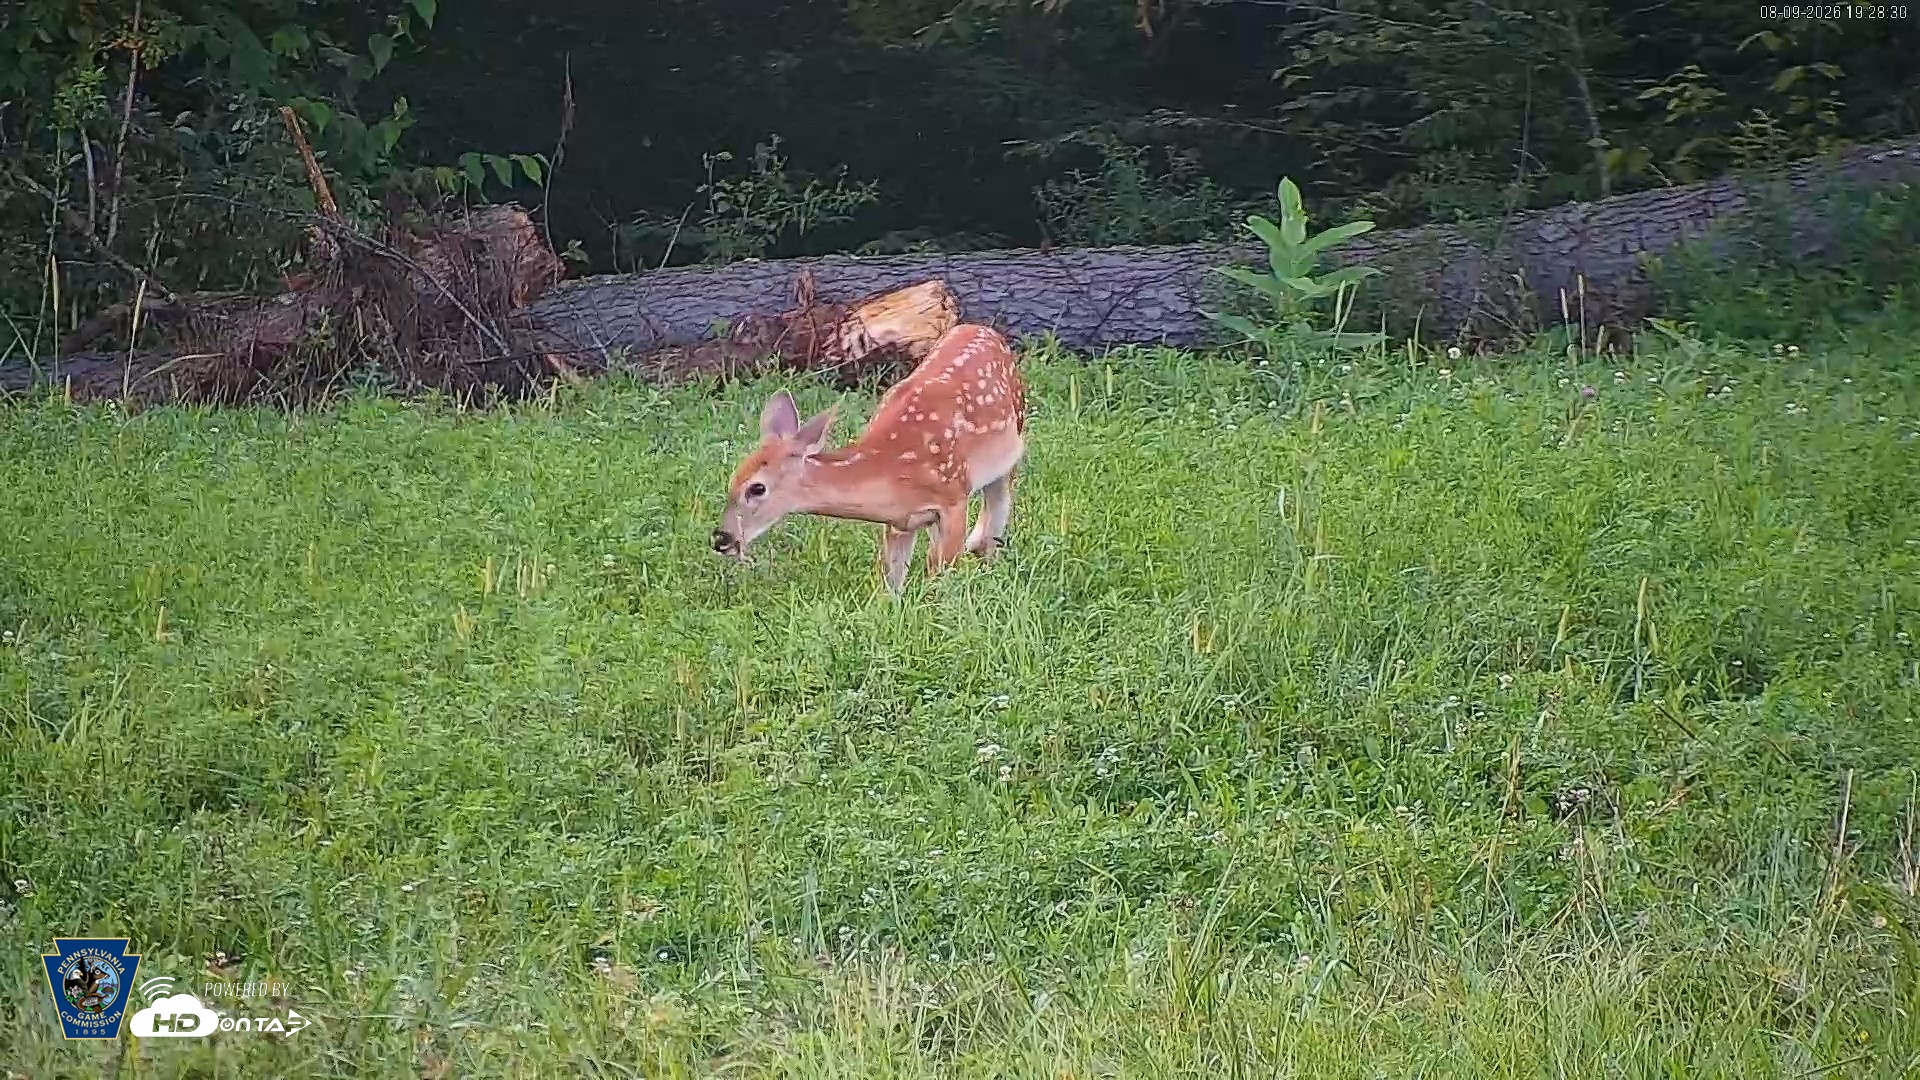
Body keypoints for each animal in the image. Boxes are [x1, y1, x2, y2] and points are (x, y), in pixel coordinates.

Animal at [711, 323, 1027, 595]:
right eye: (731, 480)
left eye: (757, 488)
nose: (722, 539)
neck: (893, 469)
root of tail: (985, 329)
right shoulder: (900, 522)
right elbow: (892, 579)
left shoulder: (953, 496)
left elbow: (940, 571)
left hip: (1015, 434)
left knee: (999, 501)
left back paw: (982, 547)